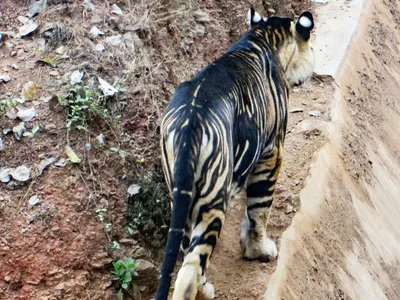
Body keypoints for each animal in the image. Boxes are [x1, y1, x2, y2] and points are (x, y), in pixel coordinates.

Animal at [155, 7, 314, 300]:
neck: (263, 35)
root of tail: (190, 123)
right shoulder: (272, 151)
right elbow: (260, 208)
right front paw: (259, 250)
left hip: (182, 200)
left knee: (188, 254)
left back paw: (205, 287)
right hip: (212, 201)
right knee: (189, 269)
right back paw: (204, 291)